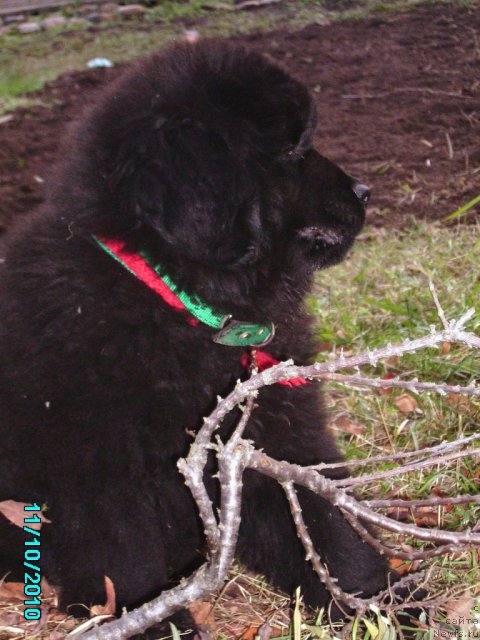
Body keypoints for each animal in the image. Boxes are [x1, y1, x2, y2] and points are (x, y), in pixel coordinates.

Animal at [0, 40, 388, 636]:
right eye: (293, 150)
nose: (365, 191)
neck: (178, 302)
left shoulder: (273, 432)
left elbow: (324, 523)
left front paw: (382, 604)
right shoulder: (95, 468)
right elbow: (121, 560)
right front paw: (153, 623)